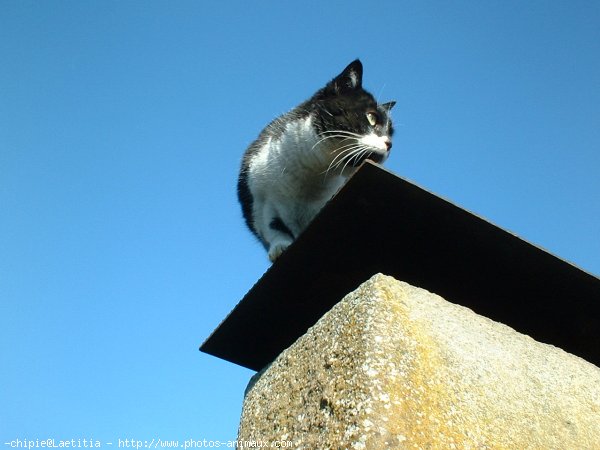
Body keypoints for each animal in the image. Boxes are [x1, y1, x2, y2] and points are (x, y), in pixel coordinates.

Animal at [237, 61, 396, 262]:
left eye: (391, 132)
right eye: (371, 117)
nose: (389, 144)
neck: (311, 173)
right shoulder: (257, 198)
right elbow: (271, 226)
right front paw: (279, 246)